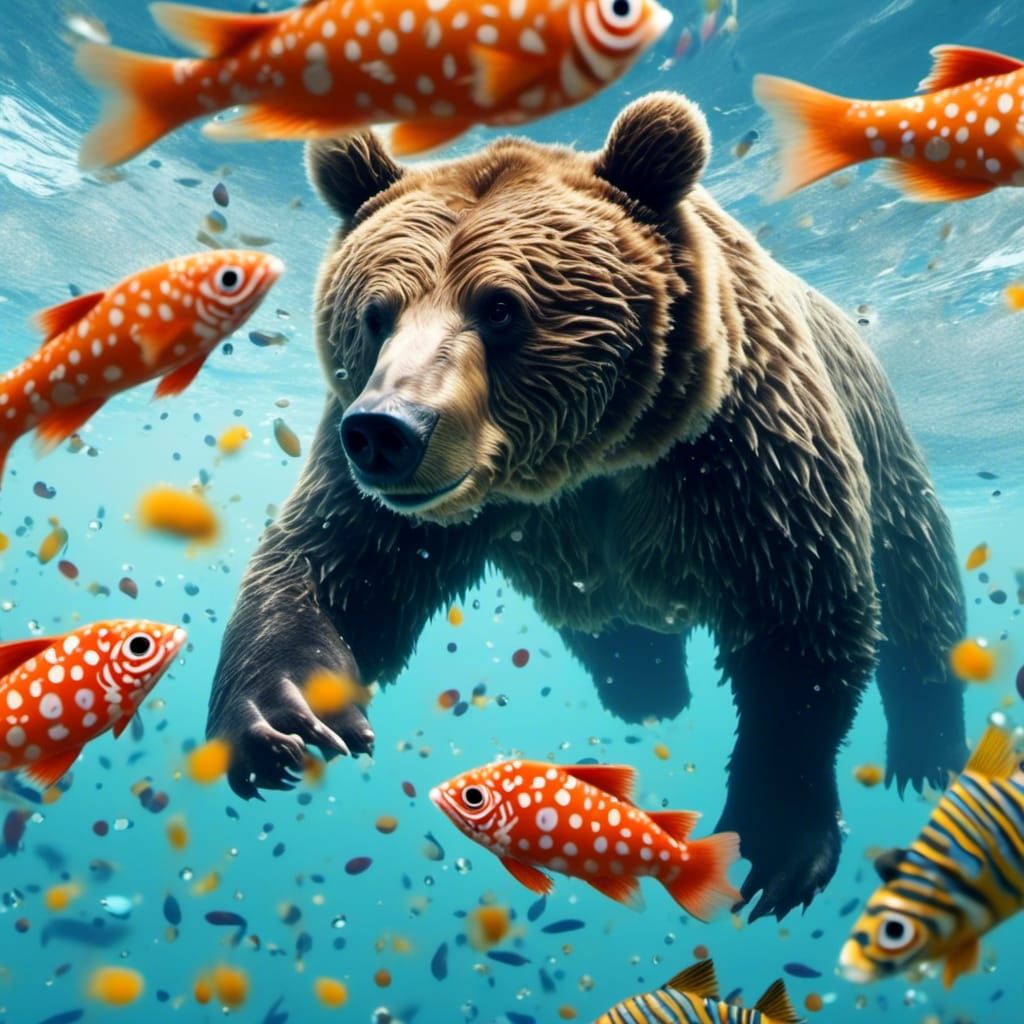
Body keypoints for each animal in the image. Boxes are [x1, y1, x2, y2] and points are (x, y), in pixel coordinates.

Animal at [206, 92, 968, 921]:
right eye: (376, 313)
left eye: (499, 308)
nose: (387, 430)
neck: (588, 458)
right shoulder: (399, 497)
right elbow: (331, 565)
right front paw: (285, 719)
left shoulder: (742, 449)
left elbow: (802, 612)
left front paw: (776, 843)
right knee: (612, 622)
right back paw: (645, 691)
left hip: (884, 445)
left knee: (919, 587)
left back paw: (929, 752)